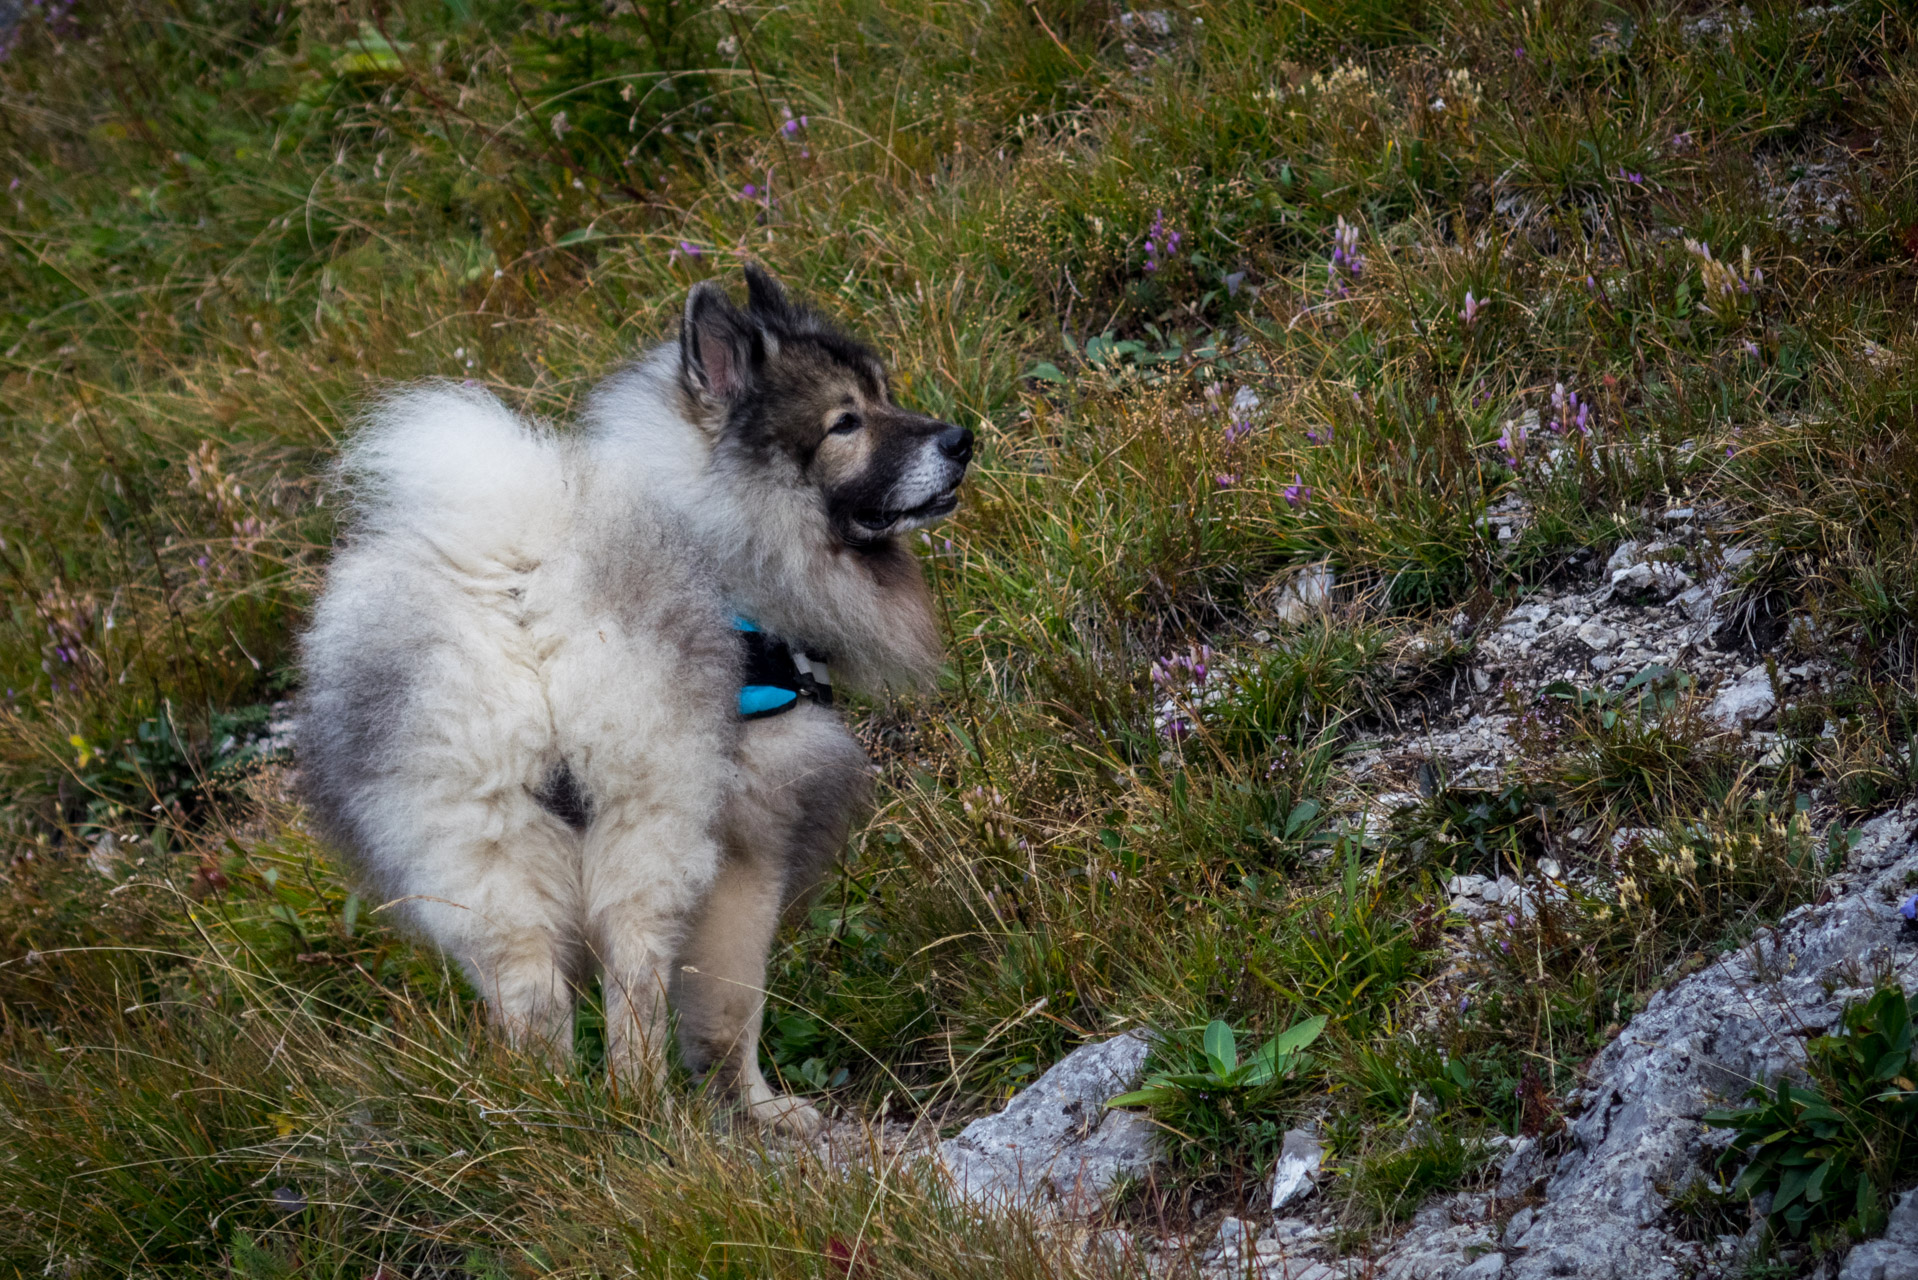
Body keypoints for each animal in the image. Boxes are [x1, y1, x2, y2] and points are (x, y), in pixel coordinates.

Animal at [299, 268, 974, 1128]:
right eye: (844, 421)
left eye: (883, 393)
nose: (960, 439)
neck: (723, 547)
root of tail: (526, 602)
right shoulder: (747, 853)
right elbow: (734, 1007)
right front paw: (759, 1108)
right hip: (650, 827)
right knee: (634, 992)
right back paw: (644, 1112)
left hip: (486, 856)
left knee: (533, 1006)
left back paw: (558, 1122)